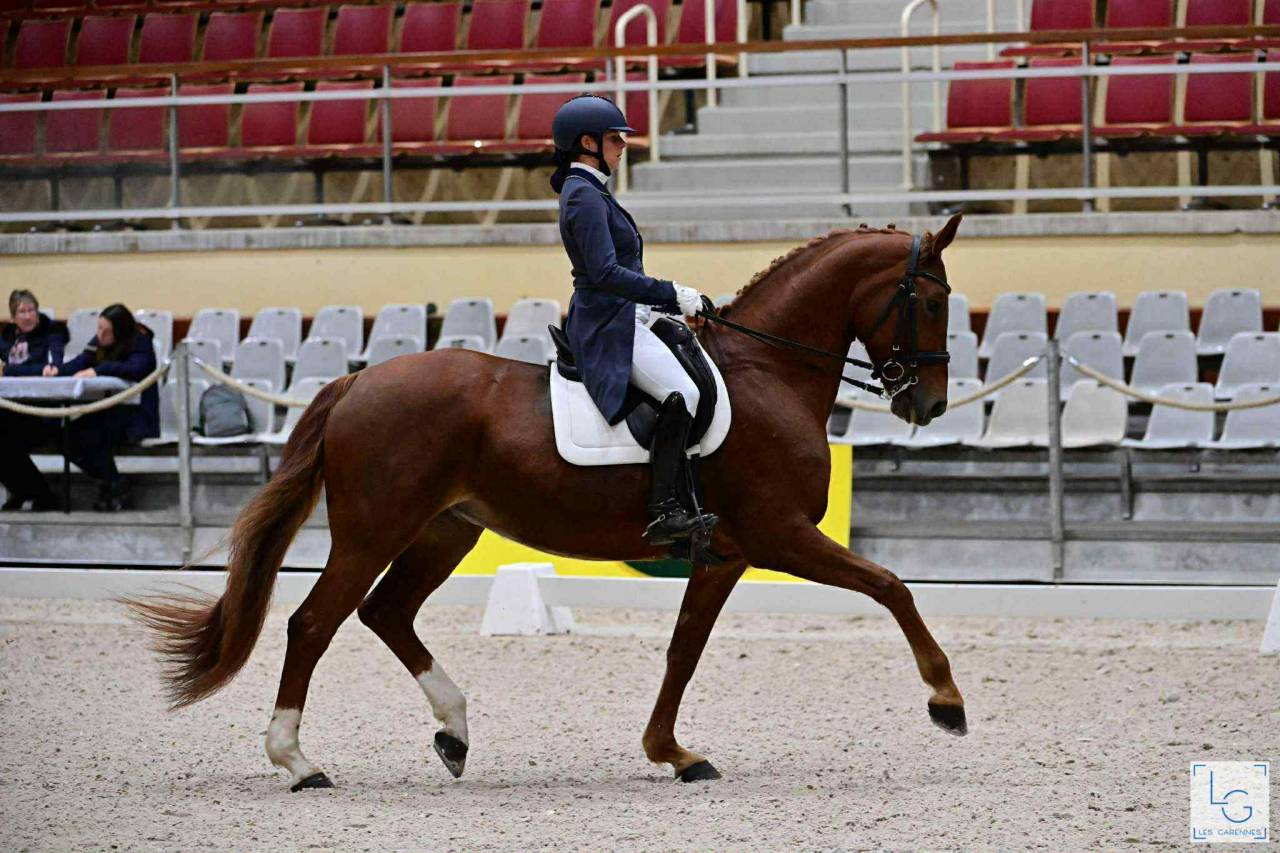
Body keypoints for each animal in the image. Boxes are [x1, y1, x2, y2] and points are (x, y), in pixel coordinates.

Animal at [130, 214, 967, 790]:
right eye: (930, 300)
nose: (928, 402)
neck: (769, 370)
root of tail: (355, 383)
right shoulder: (778, 534)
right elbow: (892, 586)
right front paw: (947, 699)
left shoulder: (726, 552)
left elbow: (684, 648)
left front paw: (673, 751)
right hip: (374, 532)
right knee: (313, 622)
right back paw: (299, 760)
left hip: (445, 531)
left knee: (385, 612)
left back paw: (455, 731)